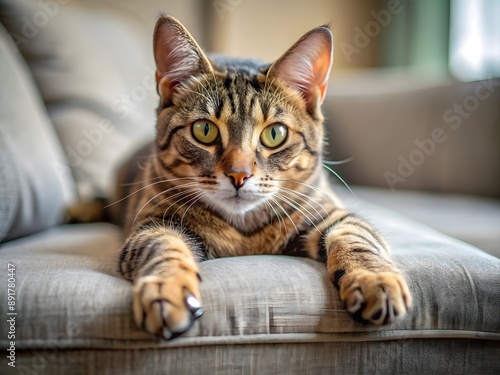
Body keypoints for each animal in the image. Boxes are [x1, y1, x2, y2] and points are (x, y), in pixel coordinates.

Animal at [115, 15, 412, 340]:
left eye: (274, 134)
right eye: (204, 130)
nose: (239, 174)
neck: (245, 234)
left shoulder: (332, 213)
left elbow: (358, 238)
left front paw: (375, 280)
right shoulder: (153, 223)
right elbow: (163, 248)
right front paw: (166, 291)